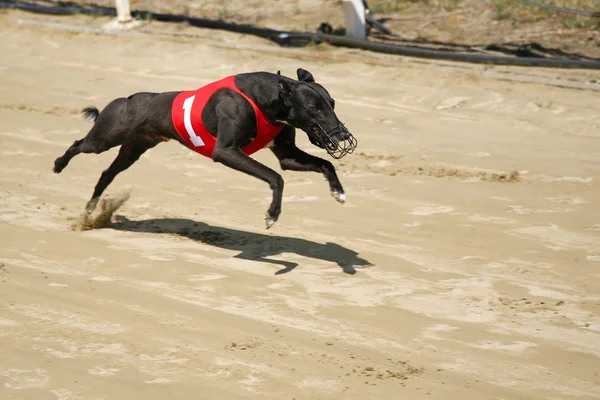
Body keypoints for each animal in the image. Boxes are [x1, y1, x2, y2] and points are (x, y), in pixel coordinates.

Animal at [54, 67, 356, 227]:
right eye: (313, 107)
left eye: (332, 103)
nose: (342, 135)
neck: (266, 99)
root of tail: (127, 98)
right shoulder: (225, 152)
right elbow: (276, 177)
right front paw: (272, 215)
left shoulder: (287, 155)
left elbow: (324, 164)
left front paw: (338, 192)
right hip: (104, 139)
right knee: (78, 144)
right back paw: (59, 164)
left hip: (133, 149)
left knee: (107, 173)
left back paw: (91, 208)